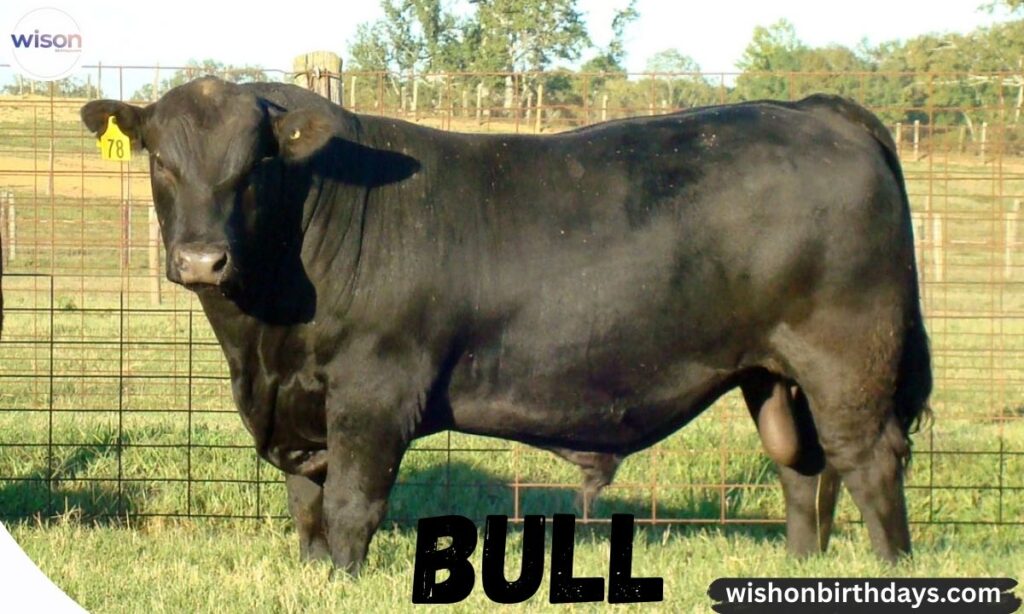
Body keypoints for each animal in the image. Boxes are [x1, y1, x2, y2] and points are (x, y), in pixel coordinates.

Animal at [81, 77, 931, 573]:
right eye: (159, 161)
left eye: (255, 164)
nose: (201, 259)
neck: (262, 345)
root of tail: (816, 108)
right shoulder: (299, 403)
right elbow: (307, 505)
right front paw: (313, 570)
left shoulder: (373, 390)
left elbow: (353, 501)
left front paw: (343, 577)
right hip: (774, 371)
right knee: (801, 466)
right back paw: (800, 565)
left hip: (847, 355)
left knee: (868, 460)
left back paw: (891, 568)